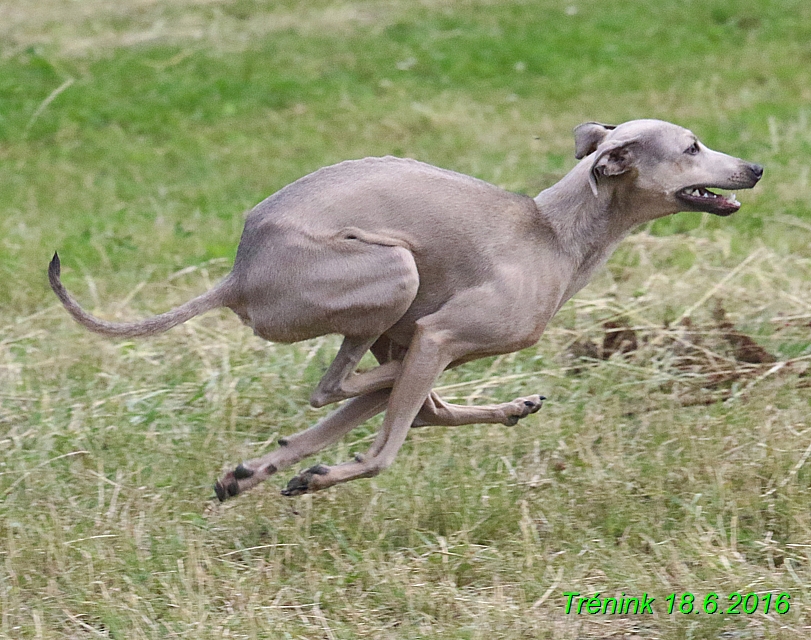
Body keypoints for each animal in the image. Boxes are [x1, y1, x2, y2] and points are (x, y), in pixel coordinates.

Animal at [49, 120, 760, 500]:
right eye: (692, 147)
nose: (755, 168)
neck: (554, 232)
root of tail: (239, 274)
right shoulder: (440, 336)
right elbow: (386, 447)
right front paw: (323, 474)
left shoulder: (432, 343)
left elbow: (395, 417)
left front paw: (261, 470)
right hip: (395, 270)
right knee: (342, 388)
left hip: (392, 307)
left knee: (372, 397)